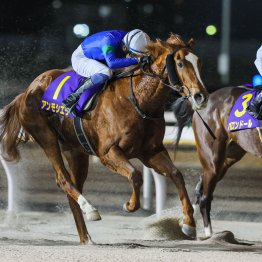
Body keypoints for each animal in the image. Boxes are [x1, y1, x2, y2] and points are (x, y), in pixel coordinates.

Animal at [0, 33, 209, 244]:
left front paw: (189, 224)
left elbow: (176, 174)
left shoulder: (151, 151)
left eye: (199, 63)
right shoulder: (108, 152)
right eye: (180, 63)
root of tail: (27, 91)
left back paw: (86, 237)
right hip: (47, 137)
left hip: (75, 150)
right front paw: (130, 205)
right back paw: (90, 209)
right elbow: (135, 175)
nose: (200, 96)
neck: (139, 101)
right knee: (63, 179)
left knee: (73, 185)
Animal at [174, 85, 262, 237]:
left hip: (229, 155)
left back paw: (189, 222)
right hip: (213, 158)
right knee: (205, 198)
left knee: (202, 187)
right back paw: (208, 233)